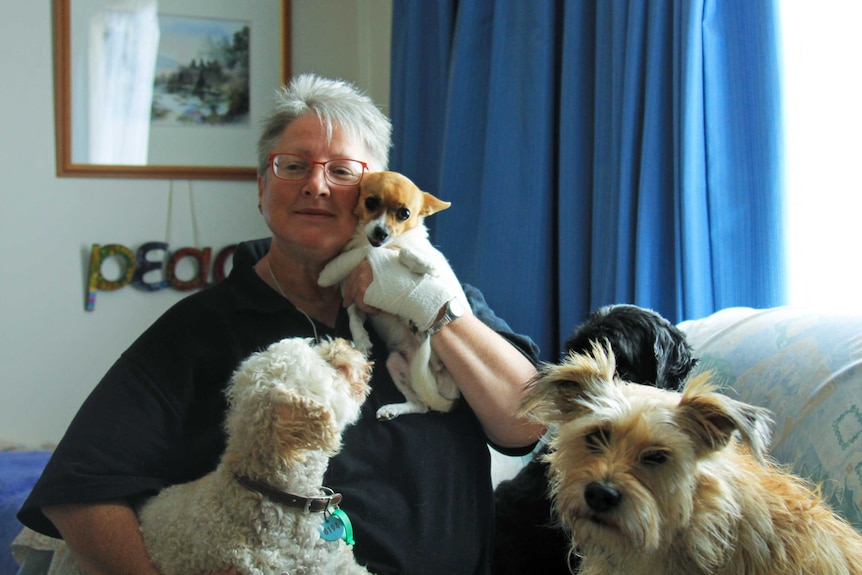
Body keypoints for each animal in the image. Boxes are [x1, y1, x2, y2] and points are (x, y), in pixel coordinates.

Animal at [318, 173, 466, 420]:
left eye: (404, 213)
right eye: (370, 202)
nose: (381, 232)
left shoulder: (432, 267)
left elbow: (402, 255)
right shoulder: (357, 299)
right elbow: (353, 315)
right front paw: (361, 339)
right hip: (395, 363)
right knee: (421, 404)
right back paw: (394, 409)